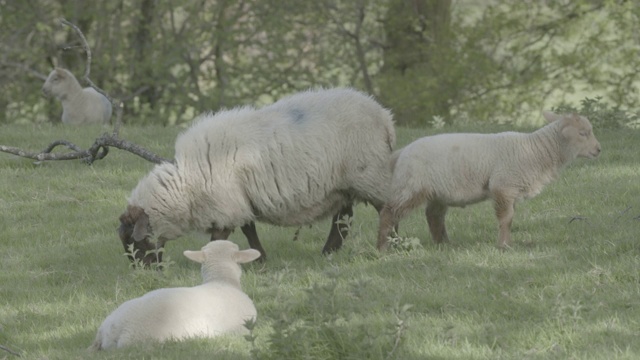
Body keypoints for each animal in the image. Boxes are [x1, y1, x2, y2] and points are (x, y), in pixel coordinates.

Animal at [117, 87, 392, 264]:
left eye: (134, 241)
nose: (145, 273)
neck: (186, 186)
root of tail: (384, 116)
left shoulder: (225, 205)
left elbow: (220, 237)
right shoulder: (238, 201)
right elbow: (249, 229)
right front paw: (260, 259)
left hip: (368, 174)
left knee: (387, 208)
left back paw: (388, 246)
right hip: (343, 185)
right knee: (343, 219)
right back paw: (329, 252)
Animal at [376, 110, 600, 250]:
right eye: (583, 133)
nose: (599, 150)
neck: (535, 150)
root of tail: (400, 153)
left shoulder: (510, 189)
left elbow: (510, 219)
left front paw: (507, 243)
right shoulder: (503, 186)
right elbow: (506, 219)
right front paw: (504, 246)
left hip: (437, 192)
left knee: (434, 216)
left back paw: (444, 244)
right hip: (410, 187)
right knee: (388, 213)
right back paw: (382, 248)